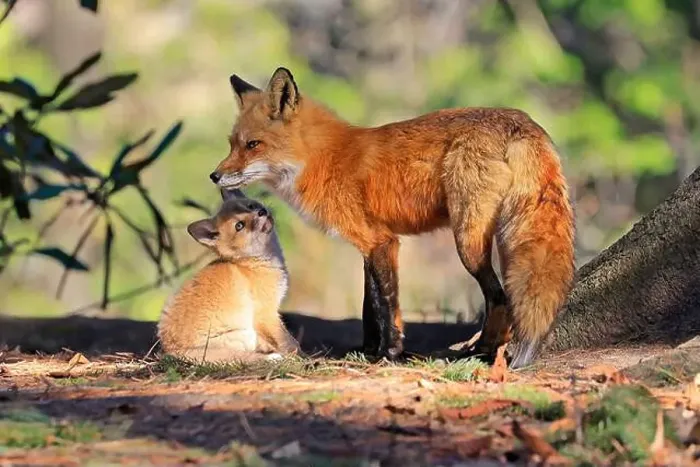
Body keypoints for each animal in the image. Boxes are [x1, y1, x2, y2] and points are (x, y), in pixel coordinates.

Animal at [157, 187, 301, 363]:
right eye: (239, 226)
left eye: (251, 206)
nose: (261, 212)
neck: (251, 264)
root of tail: (170, 350)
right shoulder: (266, 314)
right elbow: (290, 343)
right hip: (246, 335)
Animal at [208, 67, 575, 368]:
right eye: (231, 144)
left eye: (253, 145)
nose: (214, 176)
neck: (323, 159)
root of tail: (522, 121)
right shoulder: (369, 245)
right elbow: (369, 306)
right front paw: (368, 352)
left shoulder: (382, 242)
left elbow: (387, 305)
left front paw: (390, 353)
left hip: (467, 242)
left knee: (498, 297)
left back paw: (480, 352)